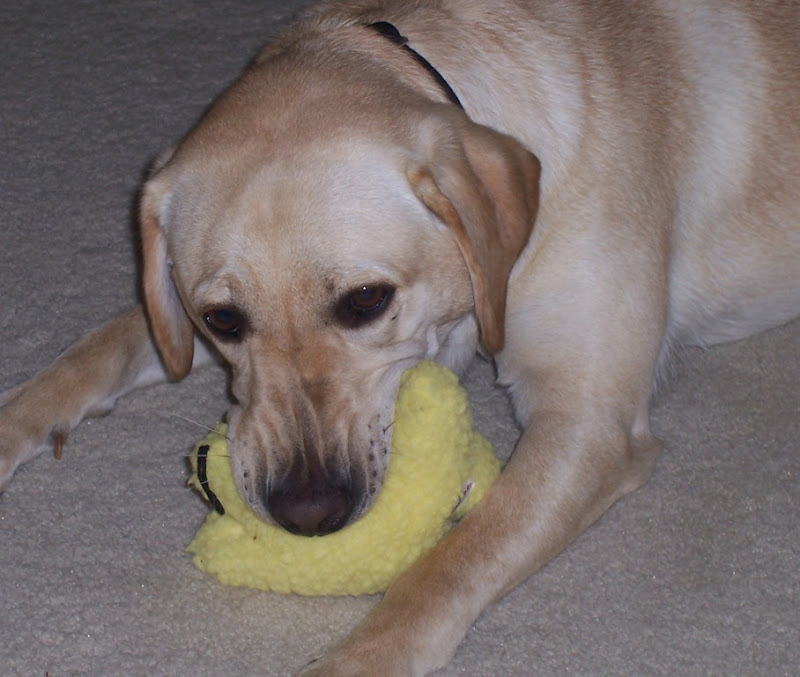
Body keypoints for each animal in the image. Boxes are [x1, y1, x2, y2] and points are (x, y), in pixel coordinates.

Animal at [1, 0, 800, 672]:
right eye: (222, 319)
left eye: (366, 300)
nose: (307, 514)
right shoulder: (171, 313)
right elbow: (98, 347)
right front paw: (14, 424)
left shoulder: (588, 421)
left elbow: (450, 564)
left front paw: (358, 659)